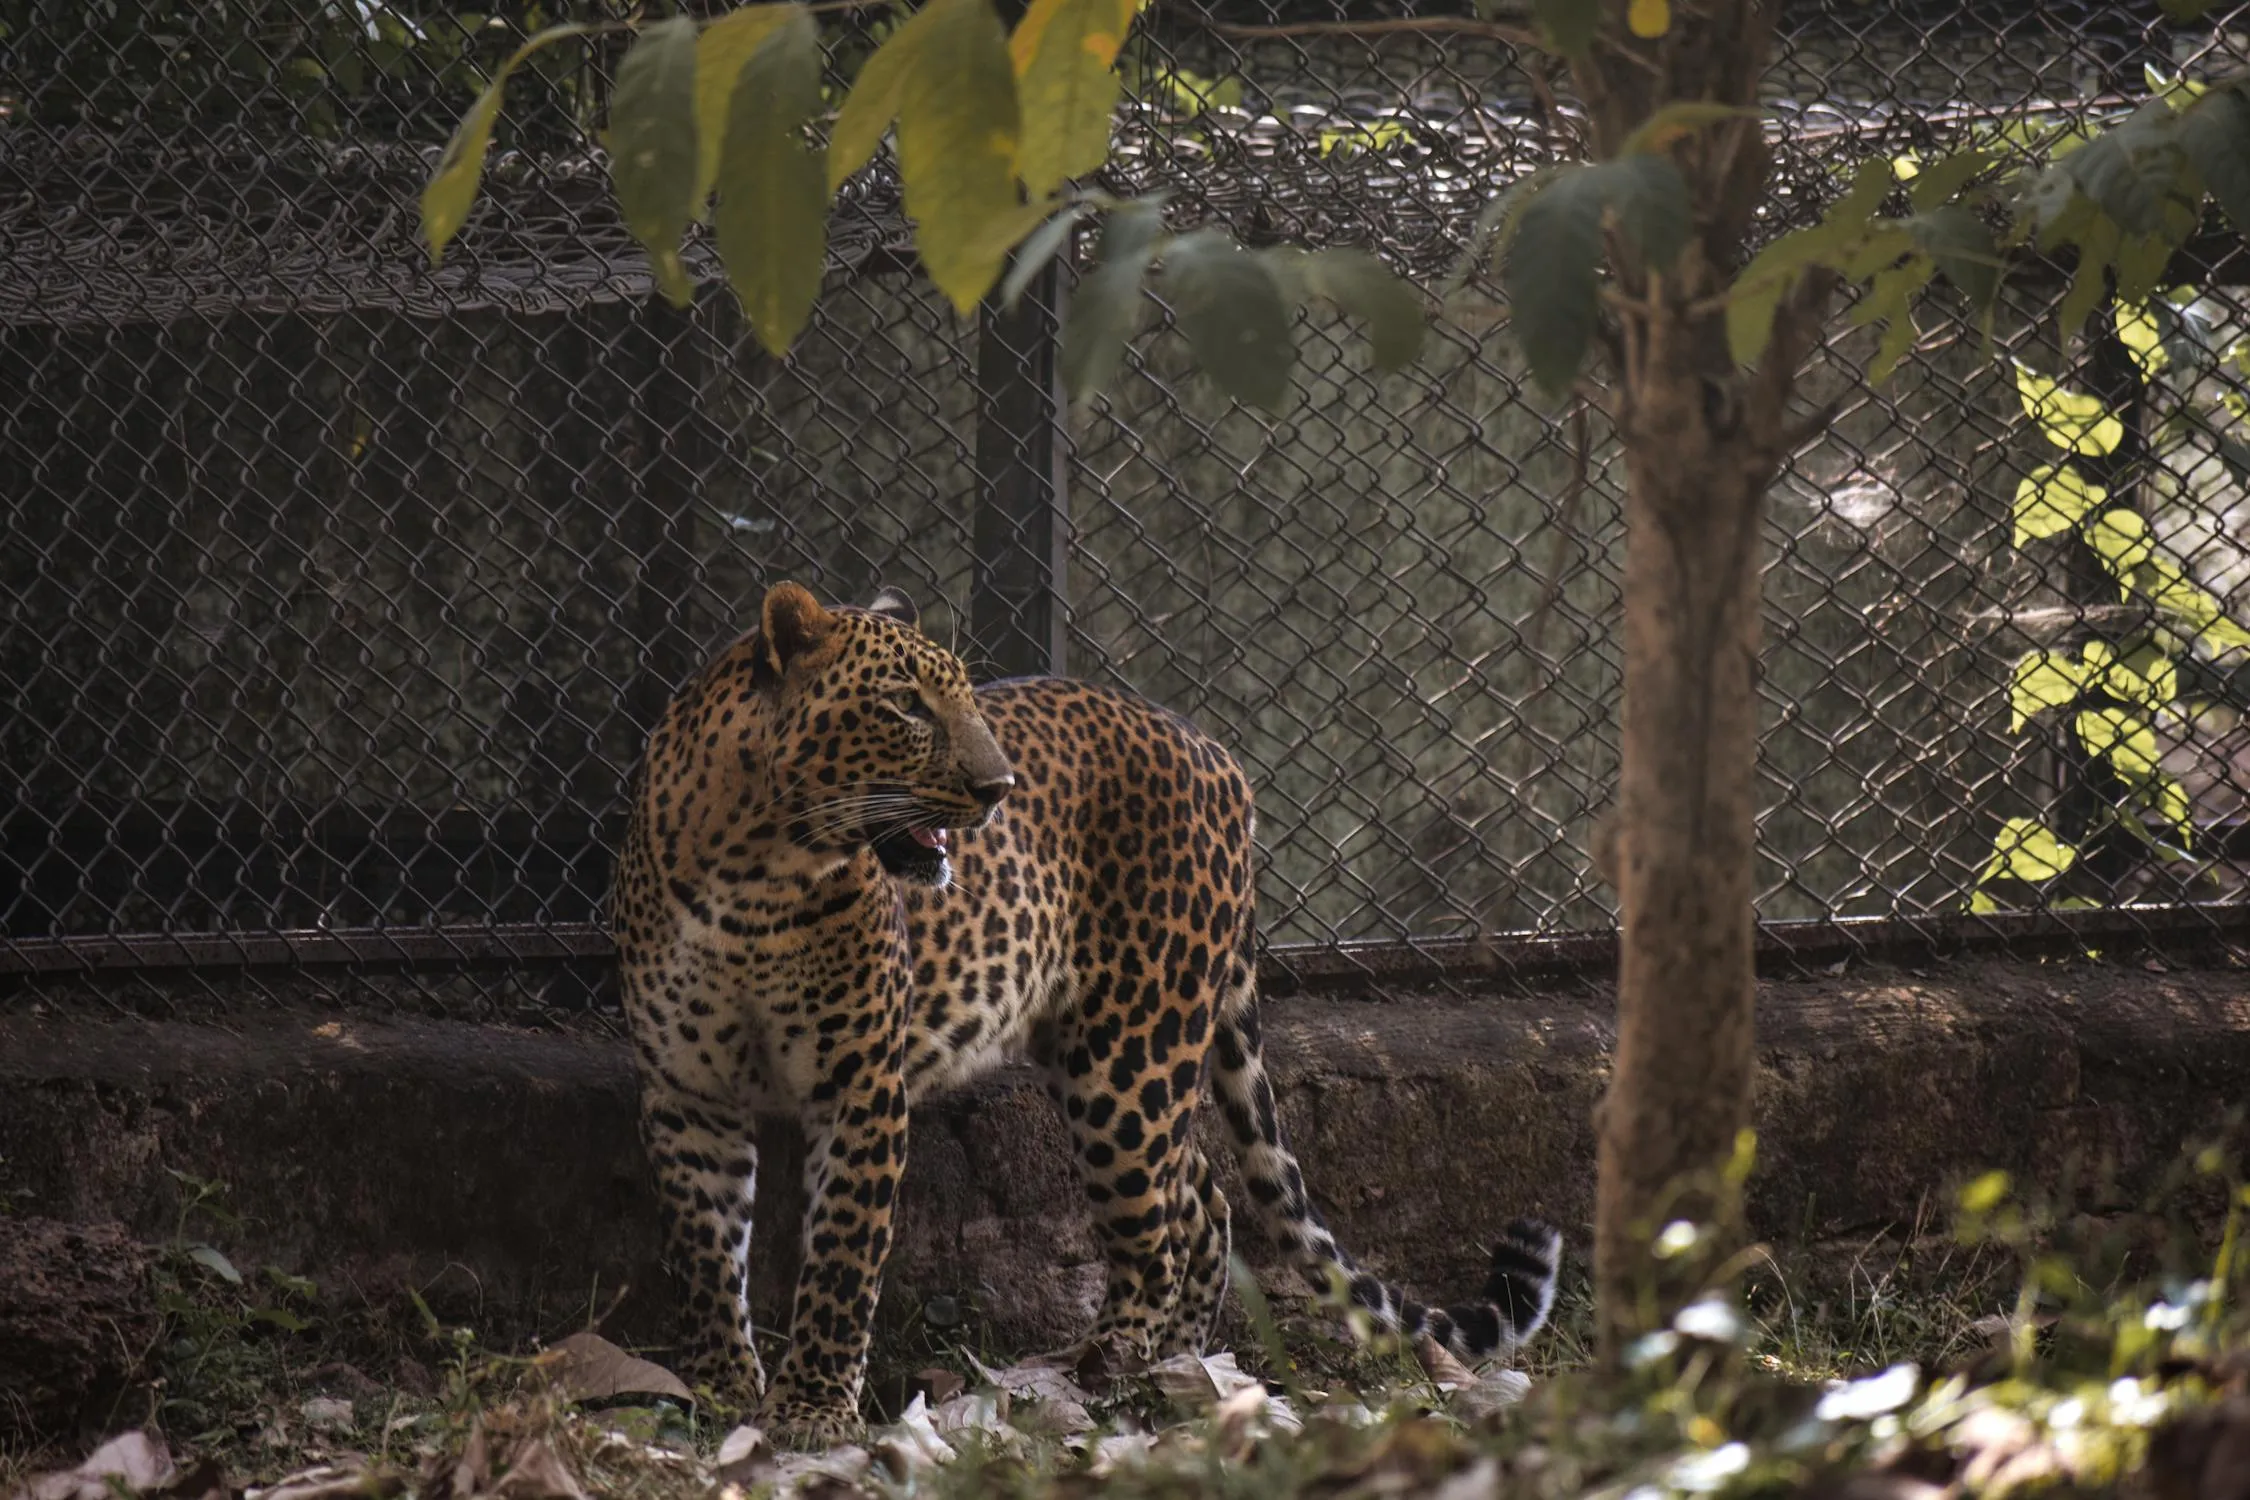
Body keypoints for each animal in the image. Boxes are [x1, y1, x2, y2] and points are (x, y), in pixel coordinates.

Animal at [608, 580, 1563, 1445]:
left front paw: (810, 1410)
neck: (756, 876)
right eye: (905, 704)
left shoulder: (861, 1087)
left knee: (1163, 1221)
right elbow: (705, 1253)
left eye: (960, 696)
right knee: (1202, 1196)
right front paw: (722, 1391)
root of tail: (1218, 753)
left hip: (1131, 1057)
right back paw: (1180, 1363)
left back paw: (1108, 1368)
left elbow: (843, 1256)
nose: (998, 787)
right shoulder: (686, 1092)